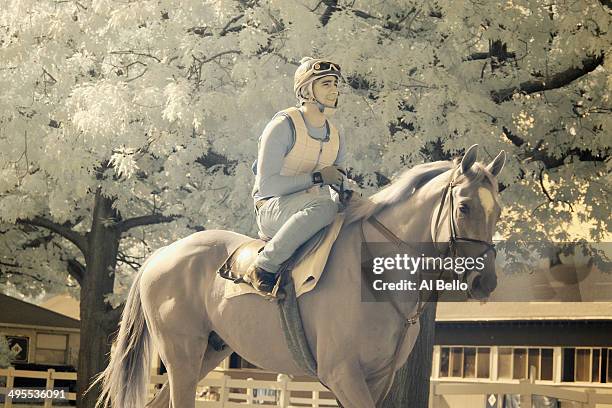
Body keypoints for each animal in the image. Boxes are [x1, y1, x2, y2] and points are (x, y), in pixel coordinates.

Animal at [94, 144, 506, 408]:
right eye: (464, 207)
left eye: (499, 210)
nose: (485, 282)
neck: (372, 271)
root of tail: (161, 255)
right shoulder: (343, 375)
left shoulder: (376, 380)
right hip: (181, 354)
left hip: (208, 353)